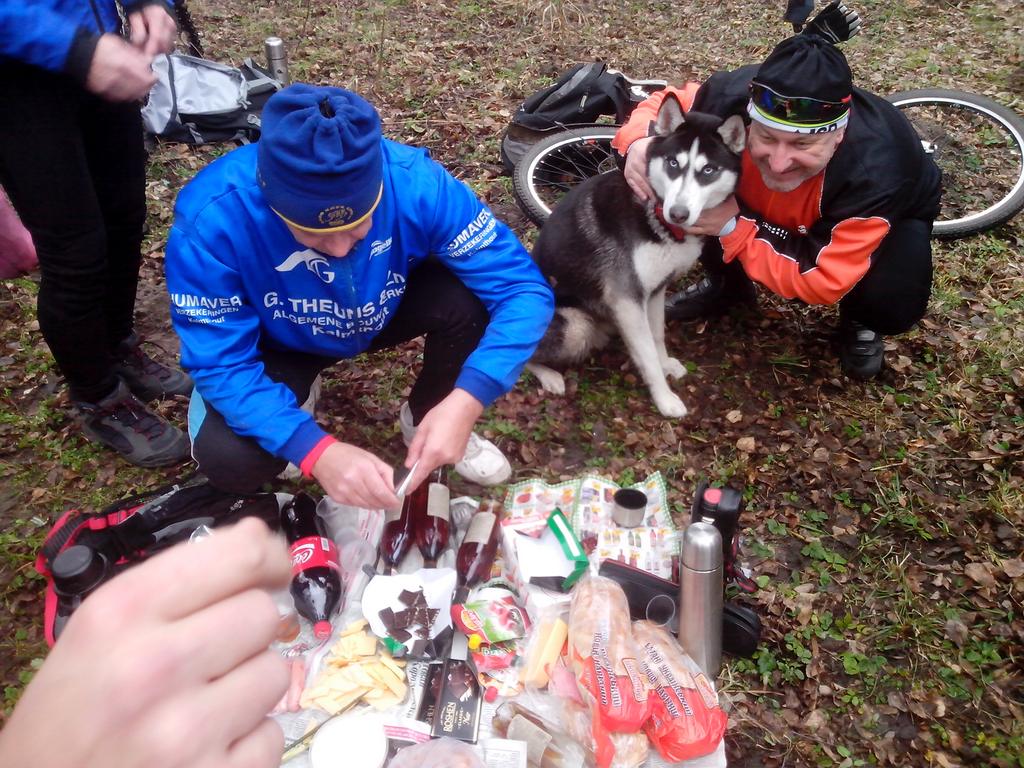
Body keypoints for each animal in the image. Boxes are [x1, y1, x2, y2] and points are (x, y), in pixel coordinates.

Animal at [525, 94, 745, 418]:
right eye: (673, 163)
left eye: (708, 170)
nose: (678, 213)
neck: (655, 213)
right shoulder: (627, 299)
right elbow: (647, 356)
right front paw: (665, 399)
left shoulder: (654, 291)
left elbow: (657, 337)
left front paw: (666, 364)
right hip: (576, 326)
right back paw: (550, 376)